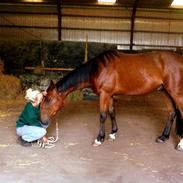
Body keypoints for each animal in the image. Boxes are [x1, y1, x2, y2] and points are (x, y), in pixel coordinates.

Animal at [40, 49, 183, 150]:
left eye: (48, 100)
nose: (42, 121)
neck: (97, 69)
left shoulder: (104, 94)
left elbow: (103, 116)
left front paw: (99, 139)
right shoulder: (110, 95)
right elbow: (112, 112)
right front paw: (113, 133)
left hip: (176, 93)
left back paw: (180, 144)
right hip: (165, 92)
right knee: (172, 113)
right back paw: (163, 137)